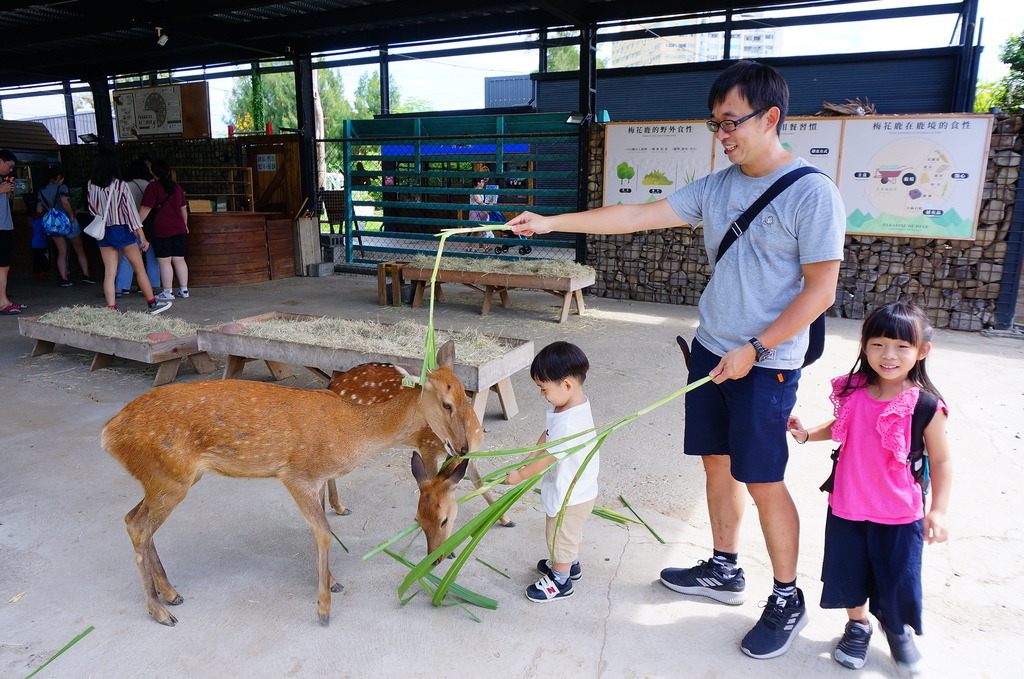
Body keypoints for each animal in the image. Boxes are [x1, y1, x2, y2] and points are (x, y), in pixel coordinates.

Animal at [101, 342, 468, 630]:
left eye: (467, 398)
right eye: (446, 404)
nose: (463, 448)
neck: (354, 432)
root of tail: (108, 434)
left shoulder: (318, 479)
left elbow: (320, 528)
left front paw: (332, 583)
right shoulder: (297, 474)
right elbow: (323, 533)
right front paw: (323, 608)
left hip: (165, 478)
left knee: (133, 519)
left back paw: (171, 594)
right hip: (170, 477)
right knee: (137, 526)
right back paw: (160, 611)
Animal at [327, 364, 516, 528]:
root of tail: (332, 385)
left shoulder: (470, 455)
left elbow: (481, 484)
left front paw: (506, 519)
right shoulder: (427, 445)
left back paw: (338, 507)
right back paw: (339, 507)